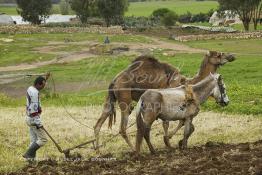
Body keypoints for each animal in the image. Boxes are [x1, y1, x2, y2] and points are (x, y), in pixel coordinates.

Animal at [94, 51, 235, 150]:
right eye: (218, 54)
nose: (232, 56)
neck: (187, 82)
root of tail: (114, 81)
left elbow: (187, 125)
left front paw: (176, 141)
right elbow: (170, 123)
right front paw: (169, 141)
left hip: (110, 99)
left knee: (98, 123)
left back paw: (97, 150)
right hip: (125, 99)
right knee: (123, 128)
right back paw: (134, 148)